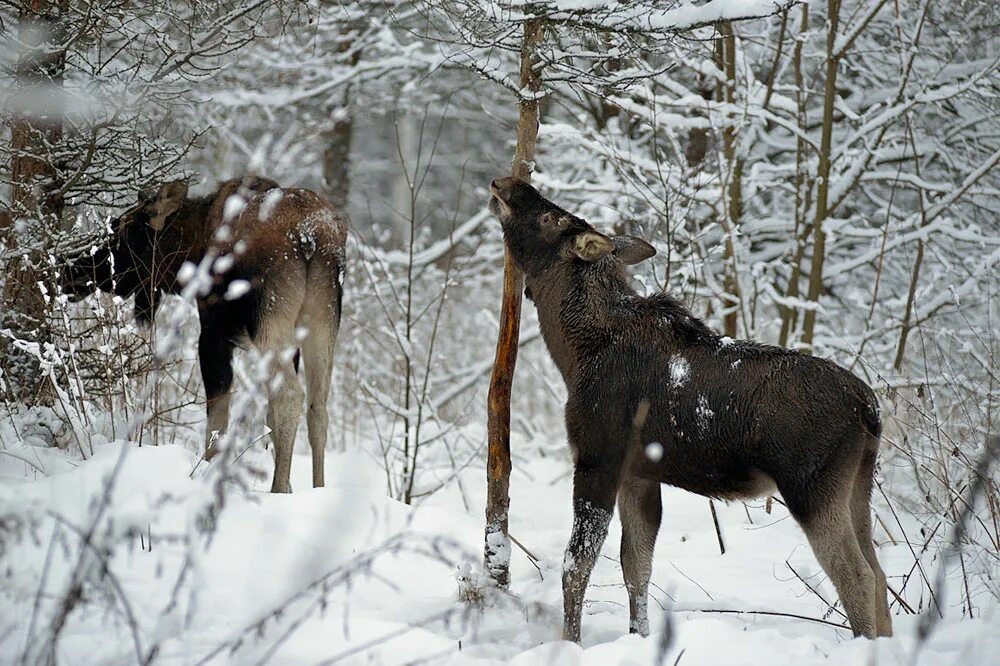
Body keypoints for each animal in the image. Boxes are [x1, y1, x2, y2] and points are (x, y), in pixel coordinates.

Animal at [61, 176, 348, 492]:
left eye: (126, 231)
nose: (70, 273)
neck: (193, 246)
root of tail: (310, 237)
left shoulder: (212, 332)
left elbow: (217, 419)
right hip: (323, 322)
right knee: (317, 408)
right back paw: (317, 488)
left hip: (269, 322)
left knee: (289, 397)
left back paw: (279, 489)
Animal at [488, 175, 896, 640]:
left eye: (549, 218)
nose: (504, 182)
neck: (573, 353)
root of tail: (870, 410)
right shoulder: (639, 475)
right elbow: (636, 567)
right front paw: (639, 636)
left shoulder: (597, 459)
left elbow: (576, 565)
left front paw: (570, 642)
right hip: (857, 485)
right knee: (879, 574)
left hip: (812, 487)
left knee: (857, 575)